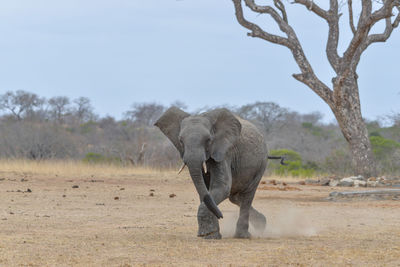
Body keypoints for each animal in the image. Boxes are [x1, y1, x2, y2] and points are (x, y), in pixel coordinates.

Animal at [155, 107, 276, 241]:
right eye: (181, 141)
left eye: (208, 140)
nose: (221, 216)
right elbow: (205, 191)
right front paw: (211, 235)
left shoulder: (225, 152)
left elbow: (222, 187)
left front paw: (208, 235)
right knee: (235, 198)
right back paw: (261, 224)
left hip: (260, 165)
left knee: (247, 196)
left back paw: (243, 235)